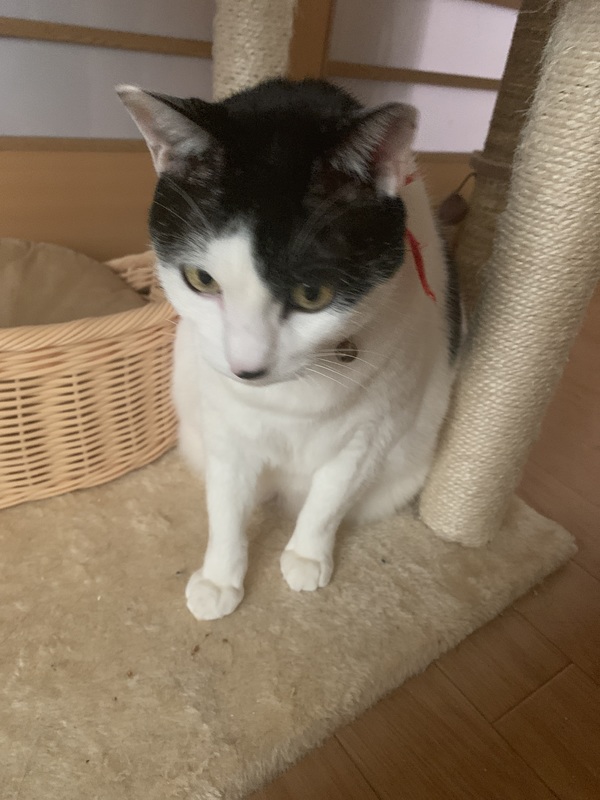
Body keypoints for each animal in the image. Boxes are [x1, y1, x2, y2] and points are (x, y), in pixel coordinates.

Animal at [118, 78, 462, 620]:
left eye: (312, 294)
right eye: (201, 280)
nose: (247, 368)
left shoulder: (373, 430)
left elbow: (330, 497)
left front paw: (306, 556)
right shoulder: (225, 425)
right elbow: (226, 505)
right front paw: (220, 579)